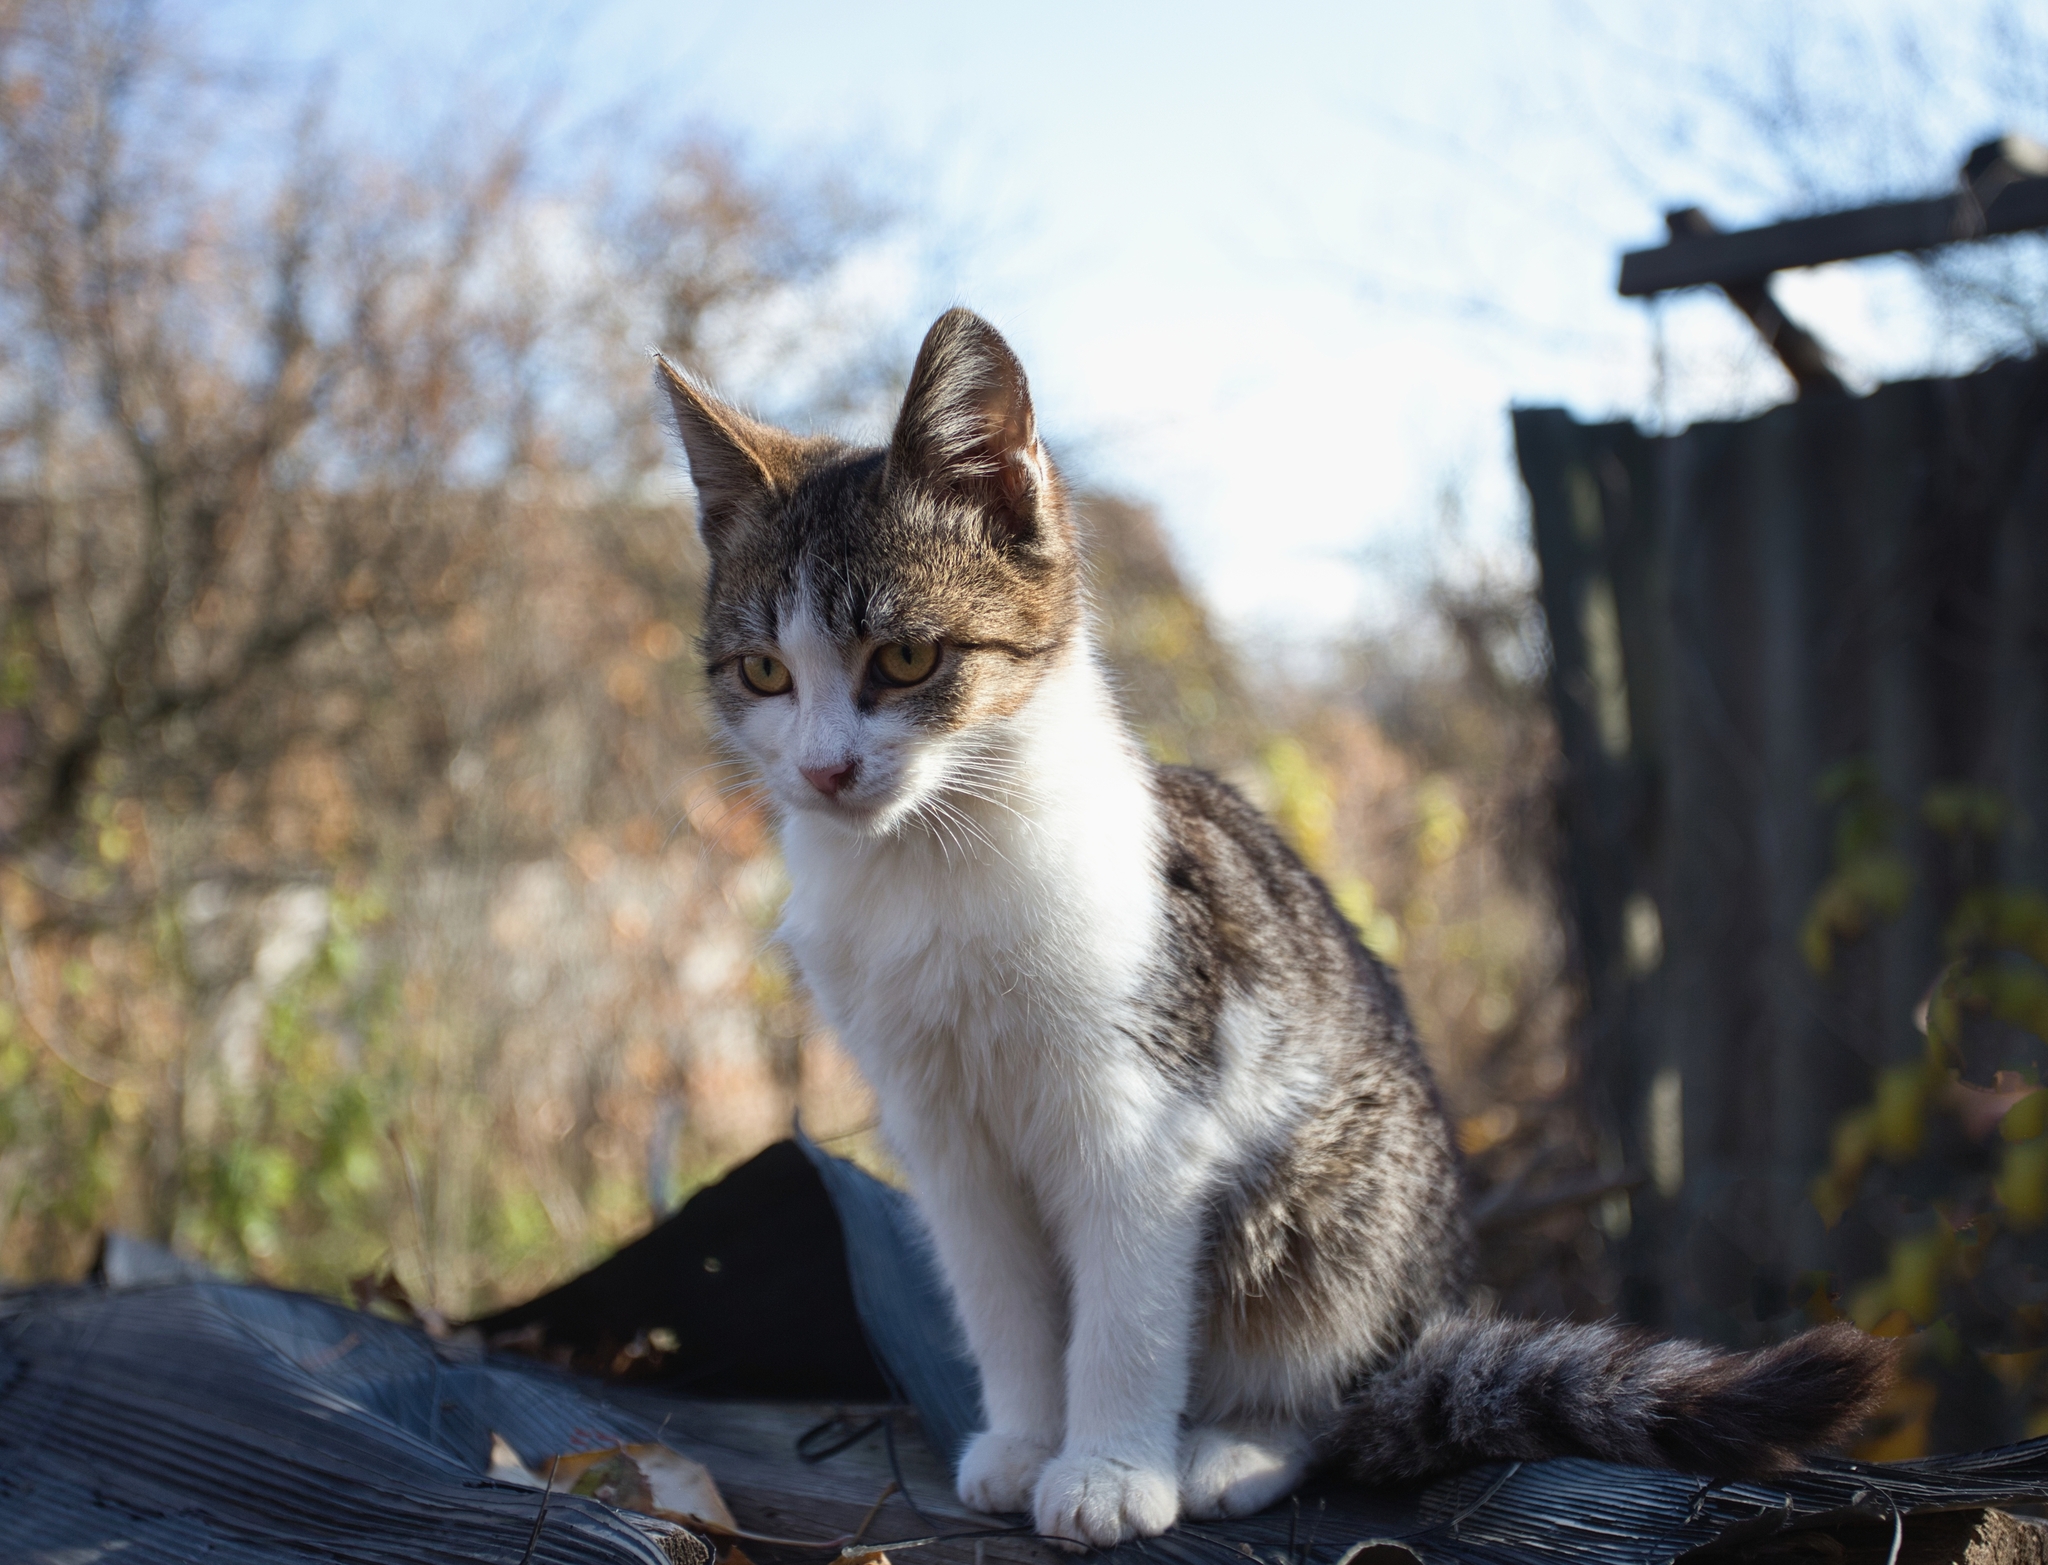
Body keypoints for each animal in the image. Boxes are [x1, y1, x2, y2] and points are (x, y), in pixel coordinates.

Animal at [651, 311, 1884, 1548]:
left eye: (905, 658)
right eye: (763, 671)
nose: (823, 770)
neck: (928, 864)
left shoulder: (1143, 1111)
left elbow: (1126, 1309)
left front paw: (1107, 1467)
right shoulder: (943, 1128)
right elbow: (1000, 1293)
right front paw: (1025, 1436)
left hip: (1329, 1192)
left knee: (1329, 1393)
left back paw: (1233, 1444)